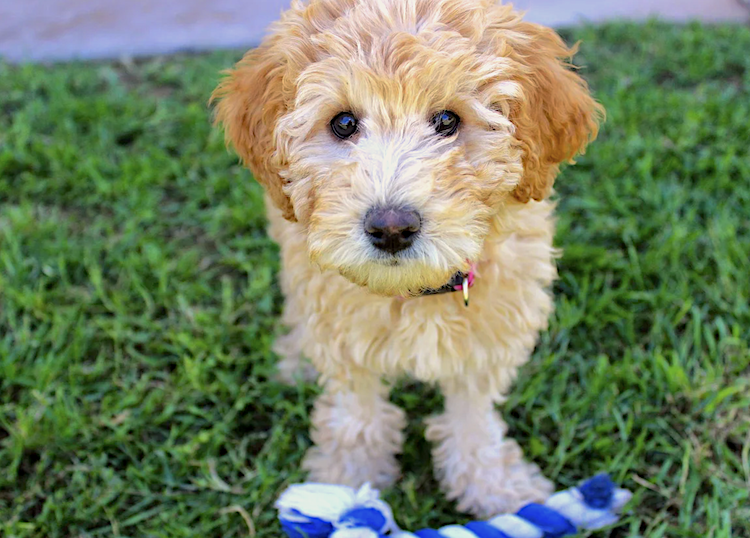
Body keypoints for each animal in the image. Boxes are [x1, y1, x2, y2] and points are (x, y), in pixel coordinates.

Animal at [212, 0, 604, 516]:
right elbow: (357, 412)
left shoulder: (489, 333)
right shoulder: (342, 332)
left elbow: (473, 416)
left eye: (447, 120)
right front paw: (345, 485)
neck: (414, 290)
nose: (391, 228)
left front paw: (493, 486)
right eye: (343, 123)